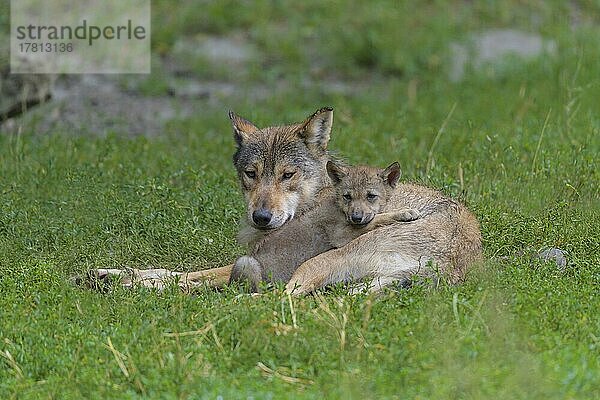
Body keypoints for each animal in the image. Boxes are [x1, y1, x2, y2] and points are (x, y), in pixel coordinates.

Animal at [88, 108, 482, 294]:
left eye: (287, 175)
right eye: (251, 174)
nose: (260, 217)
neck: (313, 199)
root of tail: (453, 264)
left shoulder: (259, 262)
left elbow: (183, 277)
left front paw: (130, 284)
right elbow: (169, 269)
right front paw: (107, 273)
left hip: (320, 262)